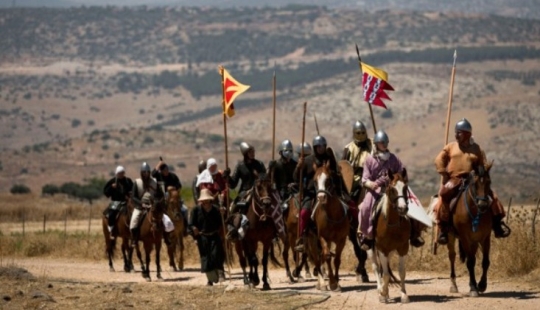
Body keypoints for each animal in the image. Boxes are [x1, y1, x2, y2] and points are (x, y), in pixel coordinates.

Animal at [308, 151, 350, 292]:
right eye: (315, 181)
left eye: (328, 179)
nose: (321, 197)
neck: (333, 216)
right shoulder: (322, 238)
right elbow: (326, 256)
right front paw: (332, 283)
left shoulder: (341, 239)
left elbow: (336, 259)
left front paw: (336, 282)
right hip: (312, 239)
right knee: (317, 258)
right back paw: (321, 283)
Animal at [370, 170, 412, 302]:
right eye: (392, 189)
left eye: (405, 188)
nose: (402, 208)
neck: (392, 225)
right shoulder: (382, 249)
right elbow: (385, 274)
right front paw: (382, 293)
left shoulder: (403, 248)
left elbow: (401, 271)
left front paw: (404, 294)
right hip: (371, 249)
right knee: (376, 268)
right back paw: (381, 290)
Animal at [448, 163, 494, 296]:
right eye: (474, 184)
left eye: (489, 182)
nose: (483, 205)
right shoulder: (465, 238)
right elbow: (470, 262)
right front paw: (474, 287)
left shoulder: (485, 237)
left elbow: (485, 261)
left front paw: (482, 285)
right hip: (451, 236)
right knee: (452, 256)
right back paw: (453, 285)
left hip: (474, 241)